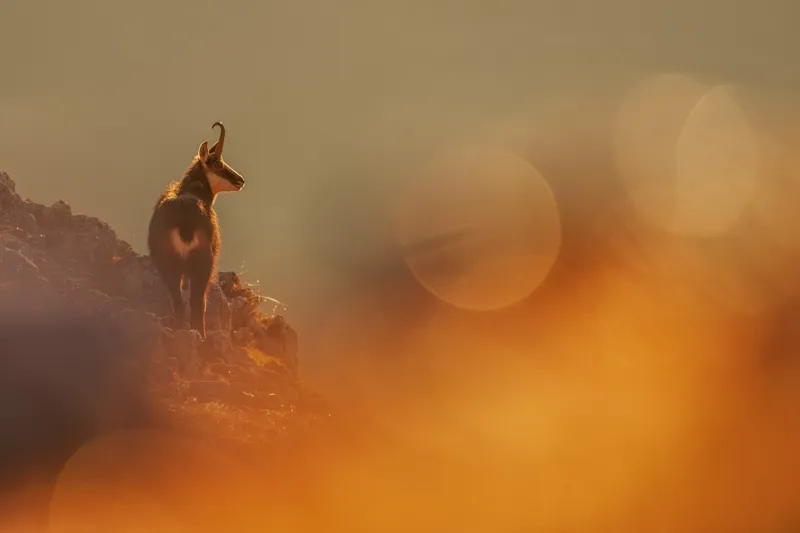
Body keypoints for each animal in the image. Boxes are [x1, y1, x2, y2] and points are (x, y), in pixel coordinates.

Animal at [148, 122, 245, 339]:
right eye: (218, 164)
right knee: (198, 301)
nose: (240, 180)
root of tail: (186, 222)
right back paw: (201, 335)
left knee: (177, 299)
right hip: (203, 264)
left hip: (169, 263)